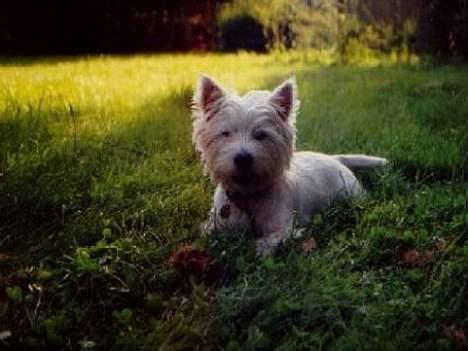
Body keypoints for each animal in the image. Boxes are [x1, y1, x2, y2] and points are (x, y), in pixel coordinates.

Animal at [191, 75, 388, 258]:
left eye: (261, 135)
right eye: (225, 134)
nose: (243, 159)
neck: (248, 198)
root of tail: (335, 158)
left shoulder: (286, 227)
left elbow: (268, 242)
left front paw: (257, 250)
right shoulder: (216, 222)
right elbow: (206, 231)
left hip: (351, 193)